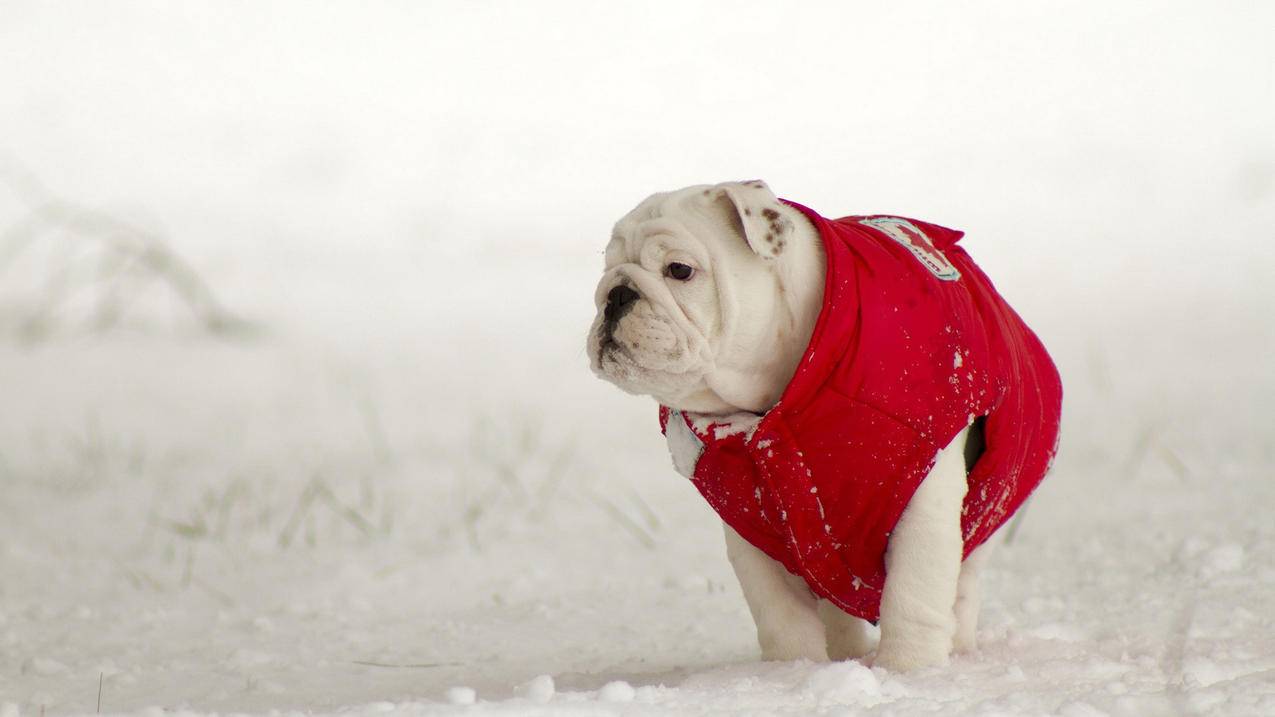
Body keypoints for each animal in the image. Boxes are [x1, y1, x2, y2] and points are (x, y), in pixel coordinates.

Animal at [583, 179, 1060, 668]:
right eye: (608, 267)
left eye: (679, 270)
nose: (615, 293)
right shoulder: (751, 527)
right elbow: (779, 612)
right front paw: (792, 670)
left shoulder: (922, 495)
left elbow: (913, 595)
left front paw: (907, 670)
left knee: (961, 586)